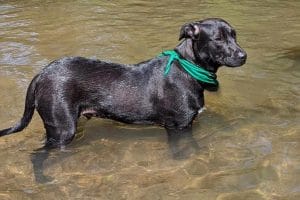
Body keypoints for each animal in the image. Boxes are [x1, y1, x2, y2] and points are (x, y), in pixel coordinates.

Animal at [0, 18, 246, 147]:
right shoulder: (179, 127)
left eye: (234, 35)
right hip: (62, 130)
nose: (244, 56)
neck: (187, 67)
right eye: (218, 39)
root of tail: (41, 74)